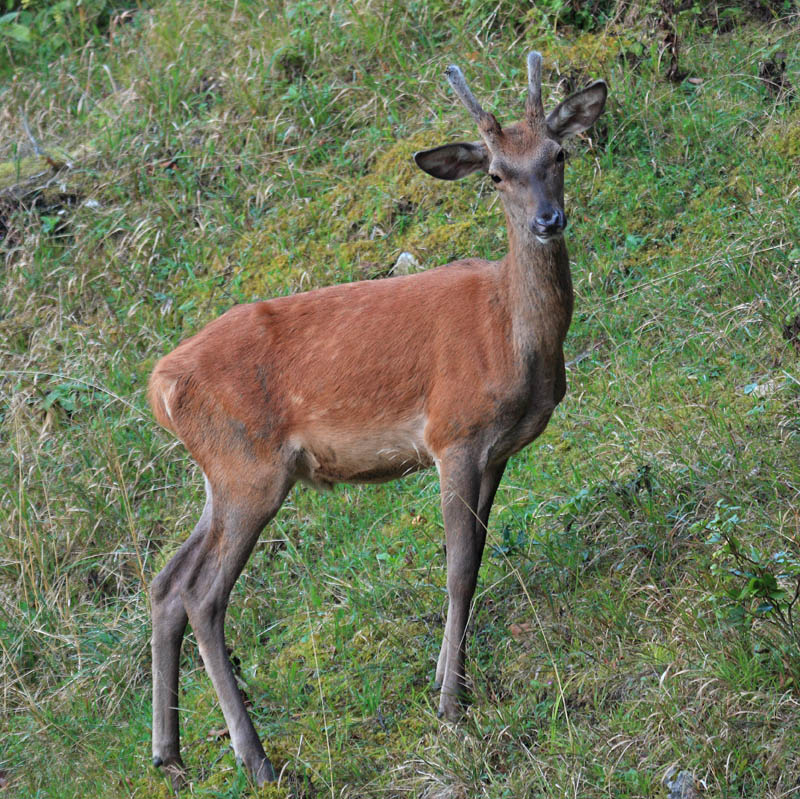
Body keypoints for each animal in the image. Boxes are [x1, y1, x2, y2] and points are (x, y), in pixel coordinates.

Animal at [147, 51, 608, 788]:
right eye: (496, 174)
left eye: (558, 153)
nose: (548, 219)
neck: (512, 334)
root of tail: (159, 384)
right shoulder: (455, 433)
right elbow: (458, 565)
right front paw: (450, 703)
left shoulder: (500, 450)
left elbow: (476, 558)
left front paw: (452, 681)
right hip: (250, 471)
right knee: (201, 594)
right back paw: (258, 758)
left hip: (219, 476)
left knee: (166, 581)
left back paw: (171, 753)